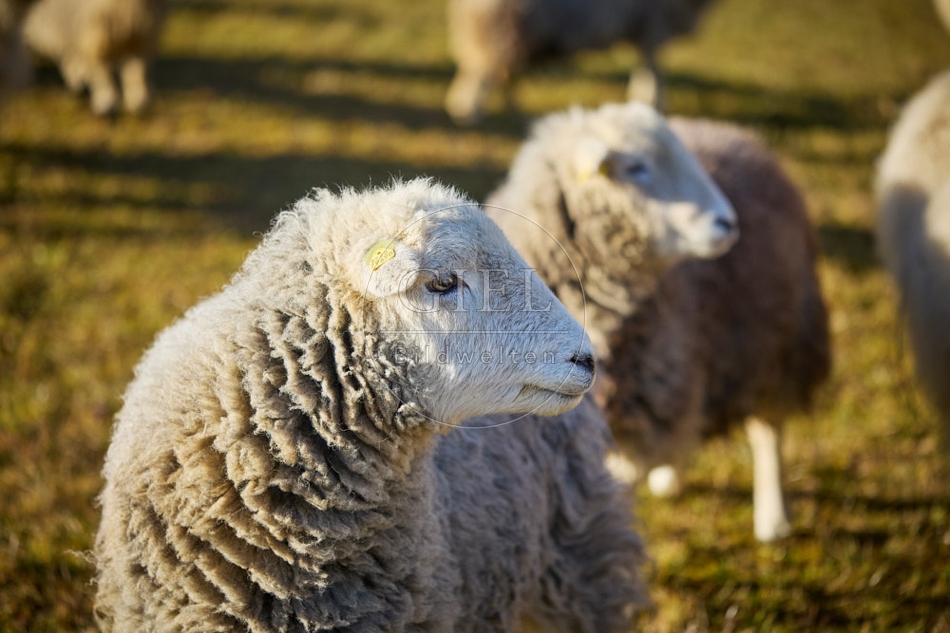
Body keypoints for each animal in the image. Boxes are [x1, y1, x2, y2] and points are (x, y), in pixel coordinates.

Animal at [21, 0, 168, 116]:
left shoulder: (143, 32)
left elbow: (138, 70)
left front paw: (139, 100)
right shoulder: (93, 31)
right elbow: (101, 70)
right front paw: (106, 100)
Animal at [444, 0, 717, 124]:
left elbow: (647, 66)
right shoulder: (654, 23)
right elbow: (653, 68)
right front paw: (653, 101)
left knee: (492, 71)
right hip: (503, 26)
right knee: (482, 71)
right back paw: (470, 111)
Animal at [487, 102, 831, 542]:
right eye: (635, 167)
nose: (727, 223)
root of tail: (736, 134)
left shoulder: (646, 407)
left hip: (778, 342)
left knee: (769, 428)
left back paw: (774, 517)